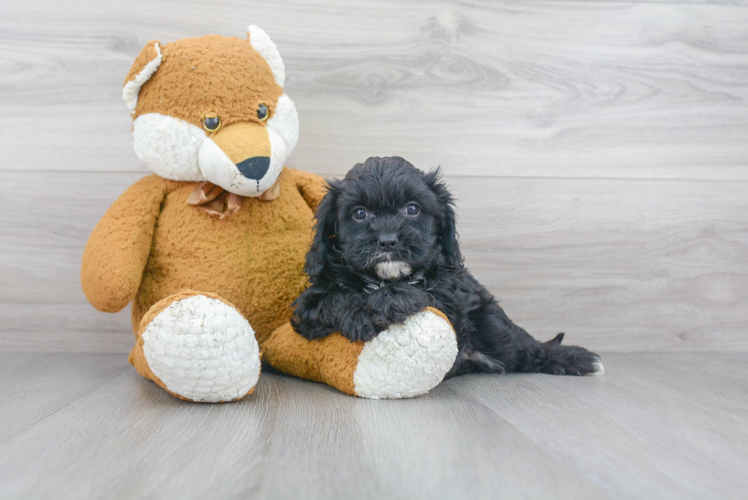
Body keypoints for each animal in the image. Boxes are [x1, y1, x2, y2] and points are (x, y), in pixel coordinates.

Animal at [290, 158, 604, 376]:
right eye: (359, 213)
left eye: (412, 208)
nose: (388, 240)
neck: (385, 278)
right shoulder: (306, 308)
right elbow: (333, 298)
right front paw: (361, 313)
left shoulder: (451, 296)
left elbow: (427, 293)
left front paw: (389, 300)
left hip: (491, 322)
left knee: (527, 350)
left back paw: (575, 359)